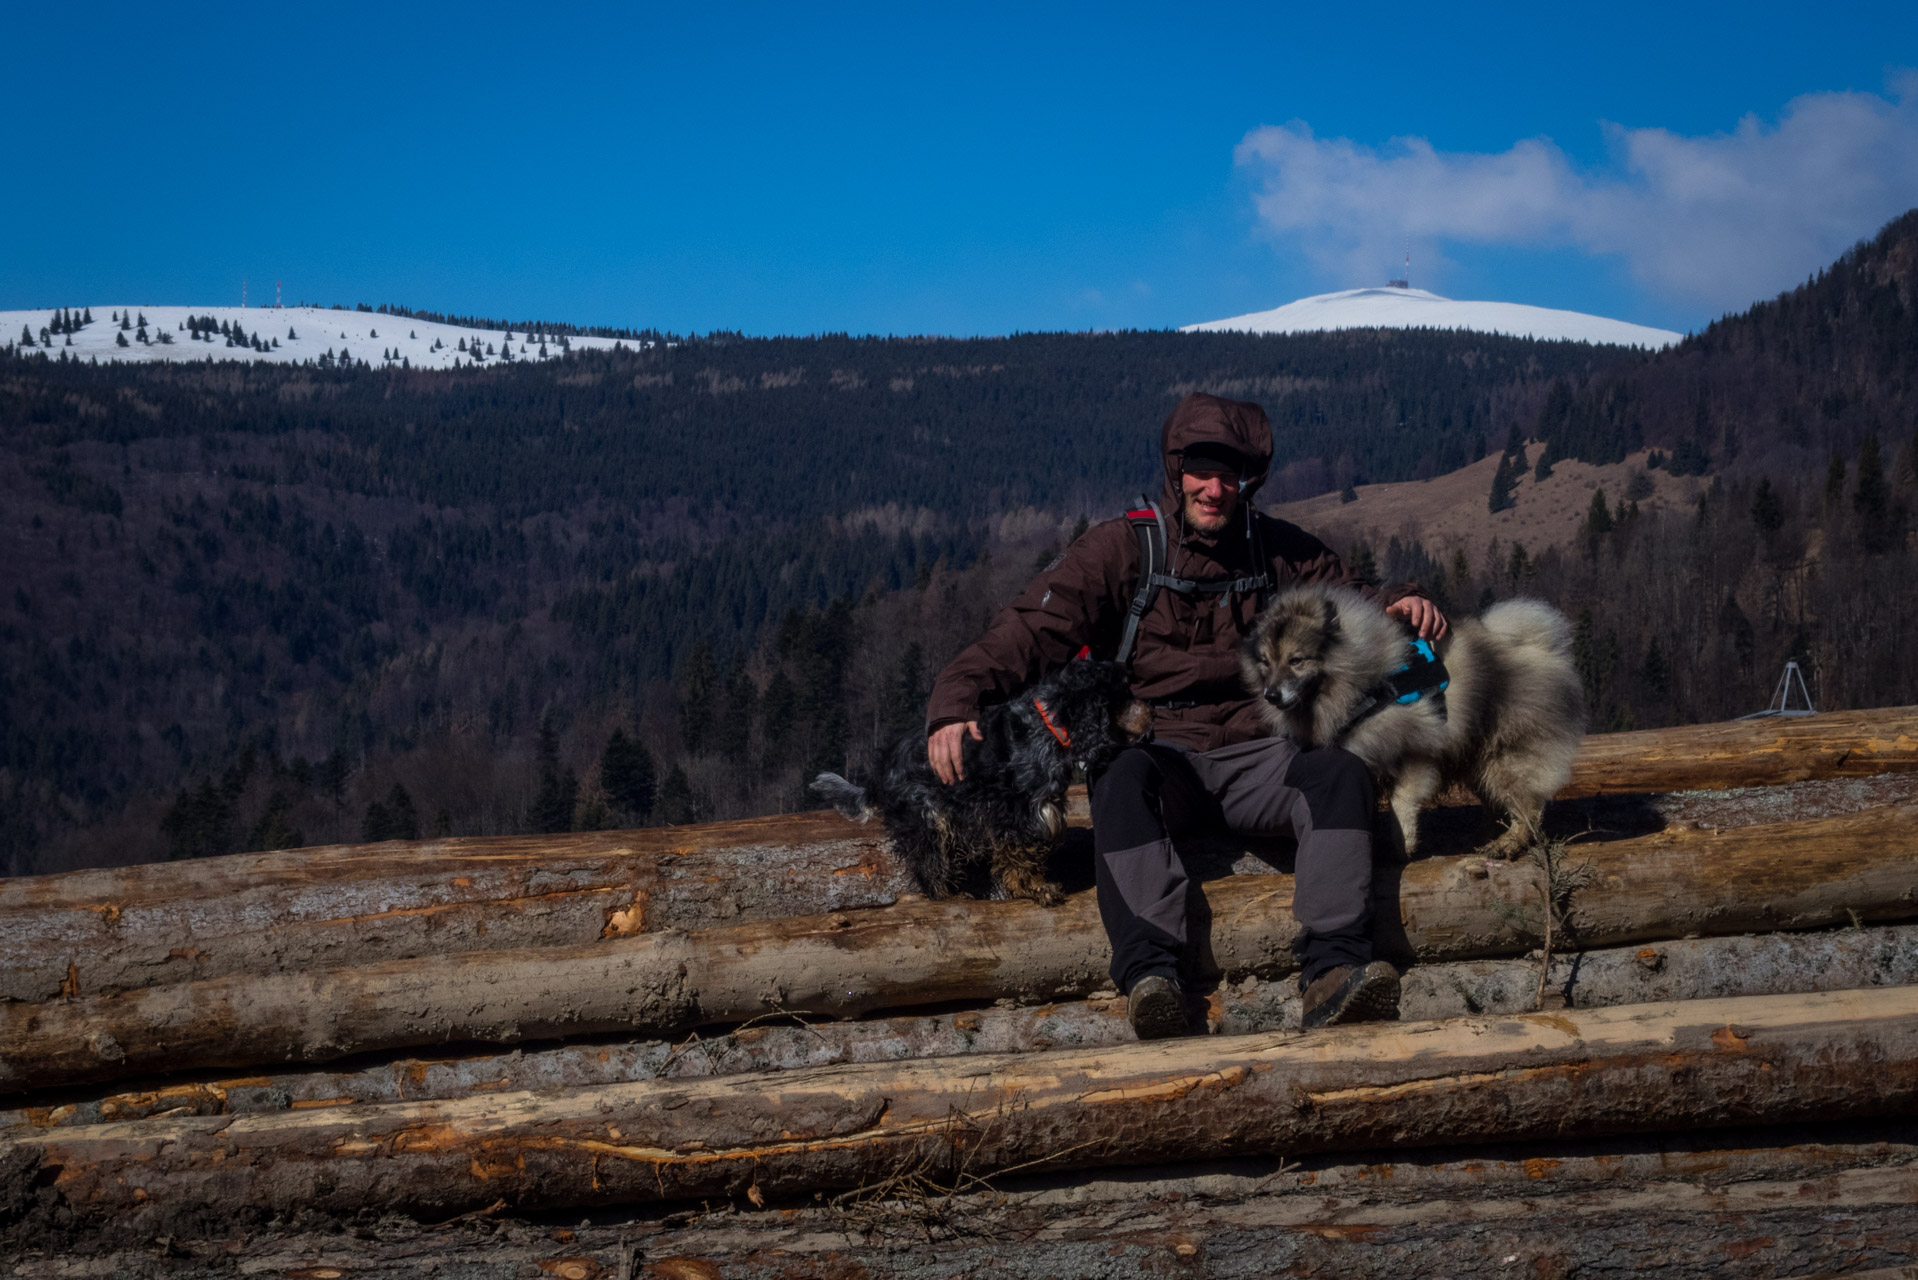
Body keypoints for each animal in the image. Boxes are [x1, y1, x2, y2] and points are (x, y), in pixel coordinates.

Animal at [805, 667, 1143, 905]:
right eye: (1124, 692)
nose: (1151, 712)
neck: (1049, 723)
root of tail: (880, 772)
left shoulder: (1040, 810)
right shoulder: (1017, 812)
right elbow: (1020, 856)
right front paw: (1034, 890)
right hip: (927, 818)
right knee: (928, 865)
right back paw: (948, 896)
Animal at [1242, 587, 1588, 855]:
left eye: (1296, 660)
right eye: (1266, 662)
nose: (1271, 695)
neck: (1362, 683)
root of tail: (1536, 645)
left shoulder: (1415, 751)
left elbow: (1401, 801)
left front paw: (1403, 844)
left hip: (1506, 756)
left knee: (1528, 807)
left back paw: (1510, 842)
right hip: (1477, 760)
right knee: (1496, 804)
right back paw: (1484, 837)